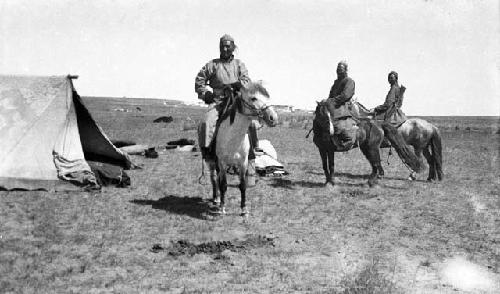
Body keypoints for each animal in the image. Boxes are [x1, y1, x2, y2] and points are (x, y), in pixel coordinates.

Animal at [206, 81, 280, 215]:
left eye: (268, 97)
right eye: (253, 98)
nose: (273, 118)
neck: (232, 137)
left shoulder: (243, 163)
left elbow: (242, 185)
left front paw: (244, 209)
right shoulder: (222, 162)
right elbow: (223, 185)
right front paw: (222, 208)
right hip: (211, 162)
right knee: (214, 179)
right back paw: (216, 199)